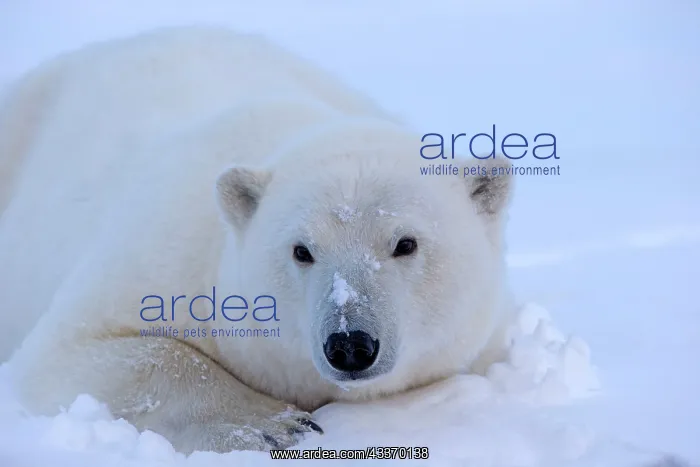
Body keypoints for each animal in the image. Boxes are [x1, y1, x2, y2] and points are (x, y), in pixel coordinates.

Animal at [0, 26, 515, 454]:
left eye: (405, 243)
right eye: (302, 251)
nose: (350, 344)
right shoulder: (165, 254)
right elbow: (78, 351)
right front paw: (274, 424)